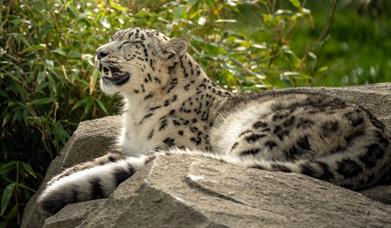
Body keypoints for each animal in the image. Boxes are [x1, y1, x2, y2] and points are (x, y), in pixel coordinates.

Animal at [38, 27, 390, 214]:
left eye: (130, 43)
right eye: (113, 36)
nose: (99, 52)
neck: (135, 111)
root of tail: (378, 135)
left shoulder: (168, 144)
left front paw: (60, 180)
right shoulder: (127, 147)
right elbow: (100, 159)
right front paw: (63, 174)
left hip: (261, 131)